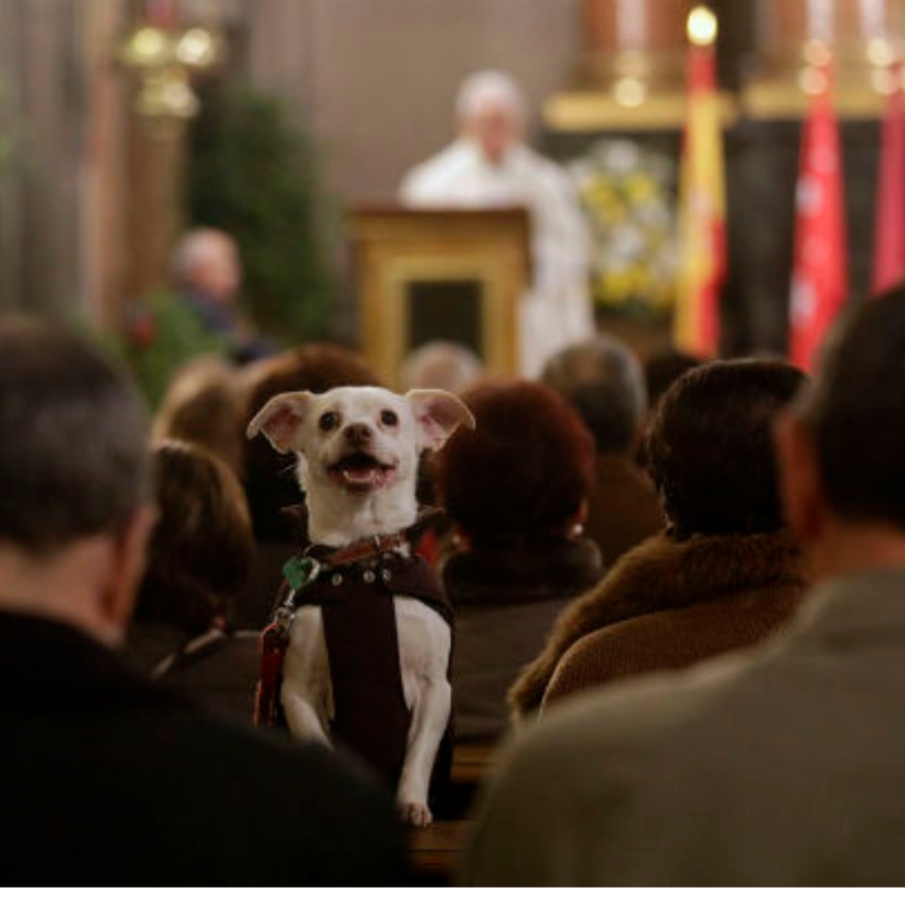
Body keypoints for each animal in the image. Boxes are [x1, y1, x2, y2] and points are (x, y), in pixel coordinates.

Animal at [247, 384, 474, 828]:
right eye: (328, 420)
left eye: (388, 418)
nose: (356, 430)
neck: (362, 558)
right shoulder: (296, 691)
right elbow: (321, 746)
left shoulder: (435, 689)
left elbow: (418, 756)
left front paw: (411, 802)